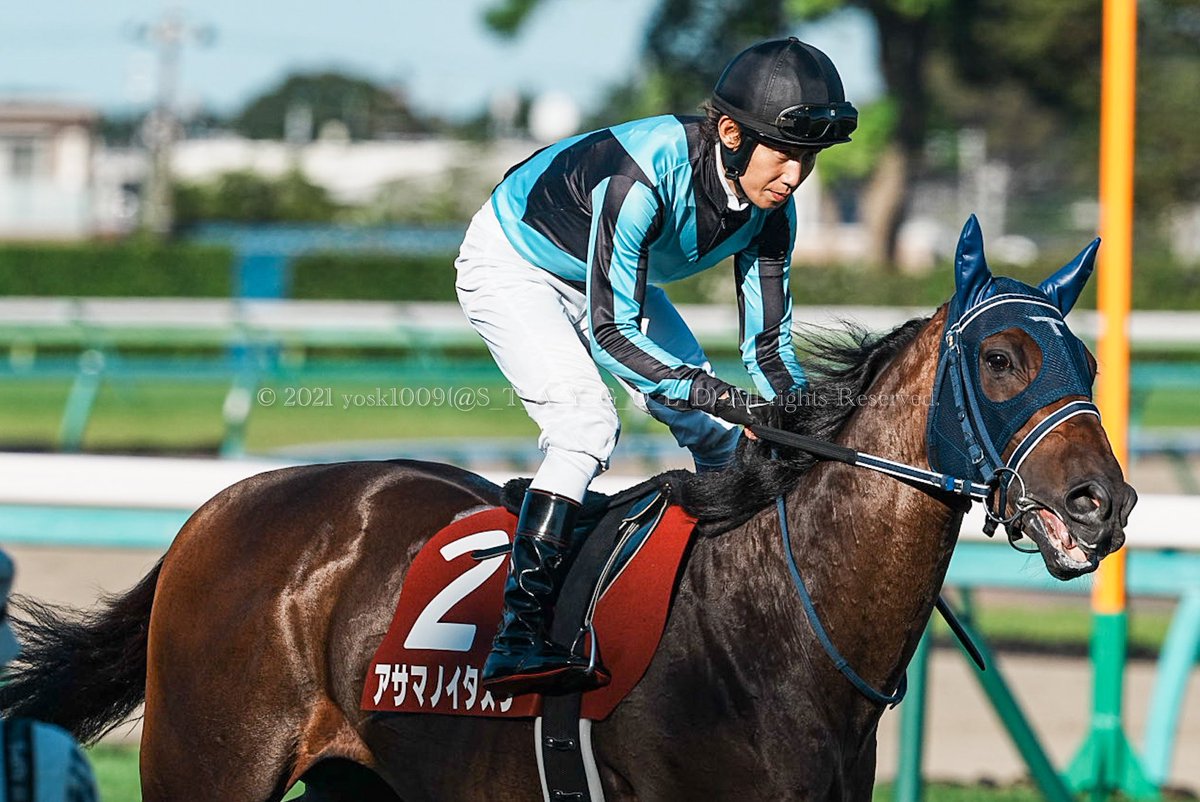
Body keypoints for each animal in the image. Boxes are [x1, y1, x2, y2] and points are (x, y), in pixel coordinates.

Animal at [2, 220, 1134, 801]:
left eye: (1084, 361)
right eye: (1001, 358)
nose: (1106, 503)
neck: (769, 630)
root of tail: (223, 504)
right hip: (209, 764)